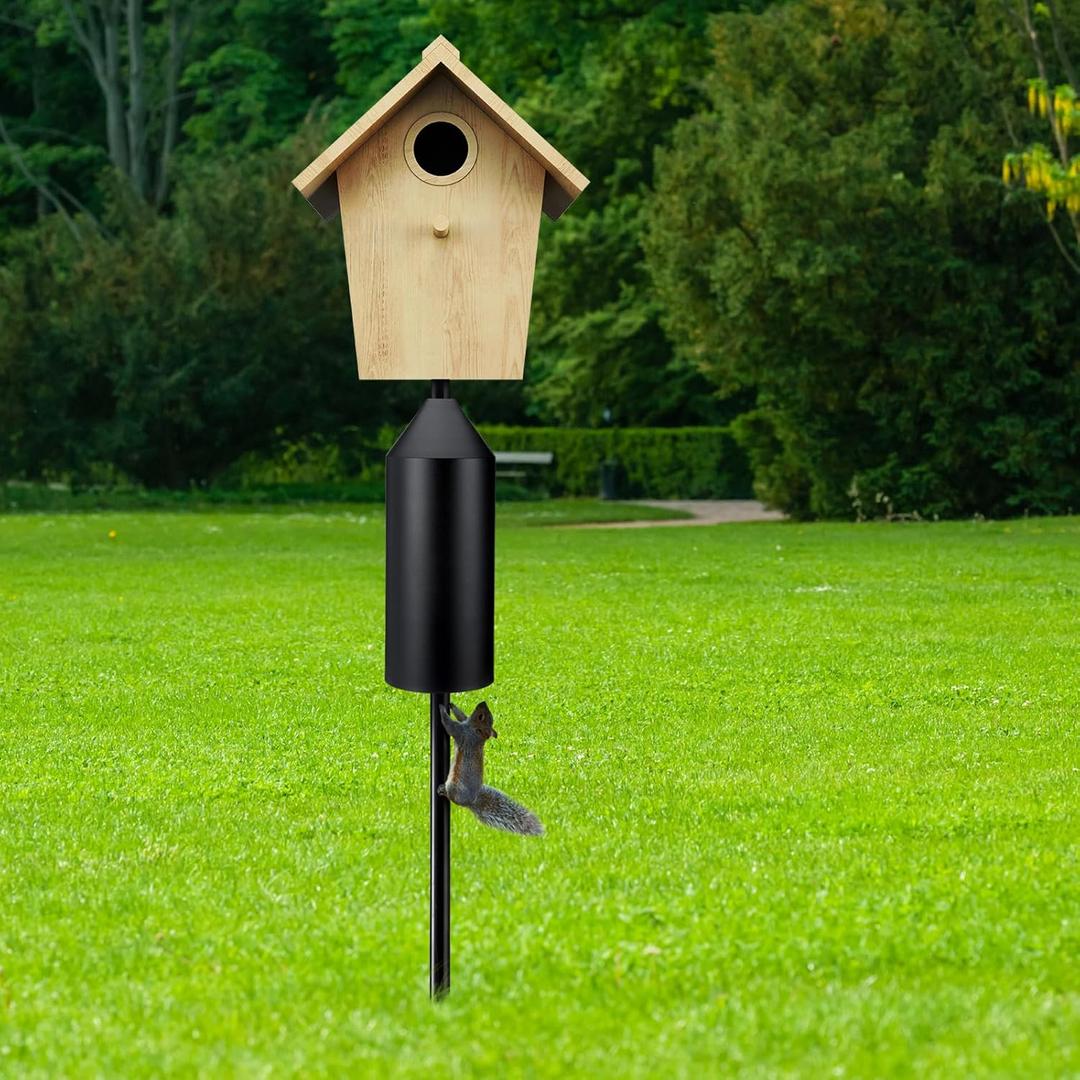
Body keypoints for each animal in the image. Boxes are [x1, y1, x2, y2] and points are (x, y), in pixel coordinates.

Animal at [438, 701, 544, 836]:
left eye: (481, 717)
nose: (482, 702)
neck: (475, 730)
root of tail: (472, 801)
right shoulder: (465, 722)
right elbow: (462, 715)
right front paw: (452, 705)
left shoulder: (462, 732)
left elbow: (448, 724)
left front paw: (442, 709)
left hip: (455, 787)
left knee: (454, 799)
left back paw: (443, 791)